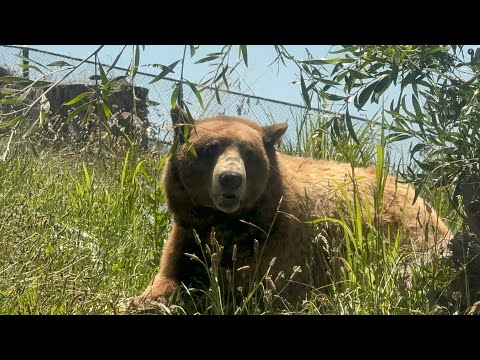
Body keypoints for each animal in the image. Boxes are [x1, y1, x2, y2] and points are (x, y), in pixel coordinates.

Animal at [133, 105, 452, 308]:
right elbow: (170, 275)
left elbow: (260, 288)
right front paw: (147, 299)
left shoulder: (278, 239)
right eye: (210, 148)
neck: (227, 223)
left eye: (249, 152)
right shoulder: (189, 230)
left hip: (406, 235)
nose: (230, 179)